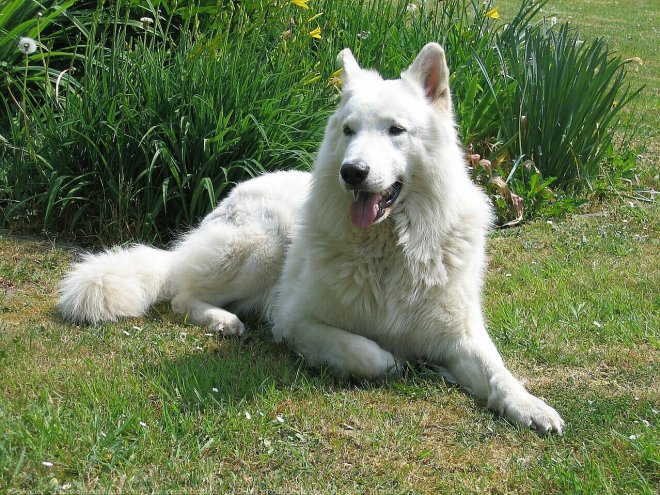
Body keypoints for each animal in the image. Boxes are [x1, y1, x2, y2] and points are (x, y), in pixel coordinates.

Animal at [58, 44, 564, 436]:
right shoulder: (296, 320)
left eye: (396, 130)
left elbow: (498, 371)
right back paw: (223, 321)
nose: (351, 172)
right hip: (262, 247)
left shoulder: (461, 334)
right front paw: (399, 360)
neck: (388, 247)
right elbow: (373, 355)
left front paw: (530, 406)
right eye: (349, 130)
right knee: (183, 294)